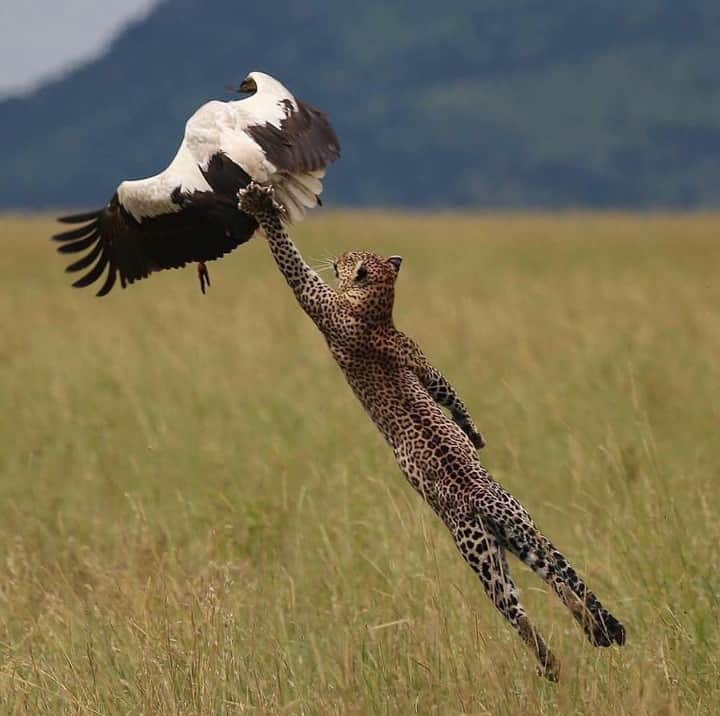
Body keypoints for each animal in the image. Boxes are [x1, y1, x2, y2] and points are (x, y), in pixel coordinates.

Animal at [236, 182, 624, 680]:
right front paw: (473, 435)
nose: (337, 256)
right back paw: (595, 631)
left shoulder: (318, 302)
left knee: (521, 610)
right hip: (519, 534)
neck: (377, 309)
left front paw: (261, 207)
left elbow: (291, 263)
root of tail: (485, 499)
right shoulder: (419, 358)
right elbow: (445, 387)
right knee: (559, 576)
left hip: (477, 550)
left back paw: (554, 662)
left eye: (348, 257)